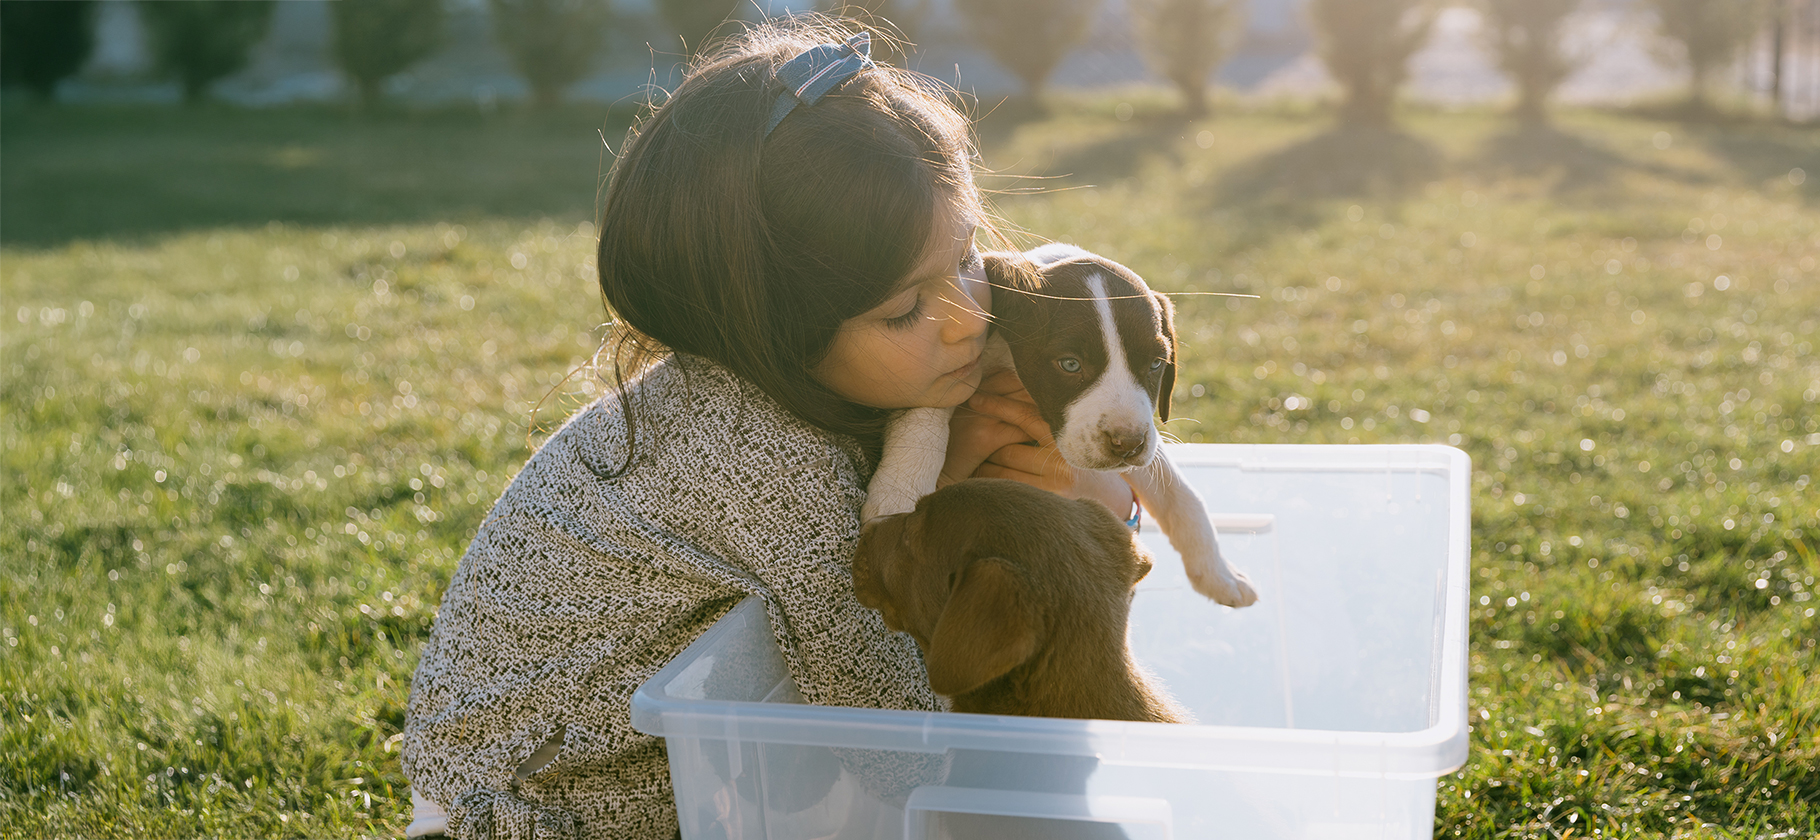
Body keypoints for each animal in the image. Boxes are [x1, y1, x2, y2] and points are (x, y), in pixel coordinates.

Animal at [862, 245, 1259, 607]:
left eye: (1156, 364)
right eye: (1070, 364)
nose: (1127, 444)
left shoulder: (1144, 436)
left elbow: (1182, 496)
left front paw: (1220, 576)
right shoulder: (957, 368)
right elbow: (930, 403)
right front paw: (898, 494)